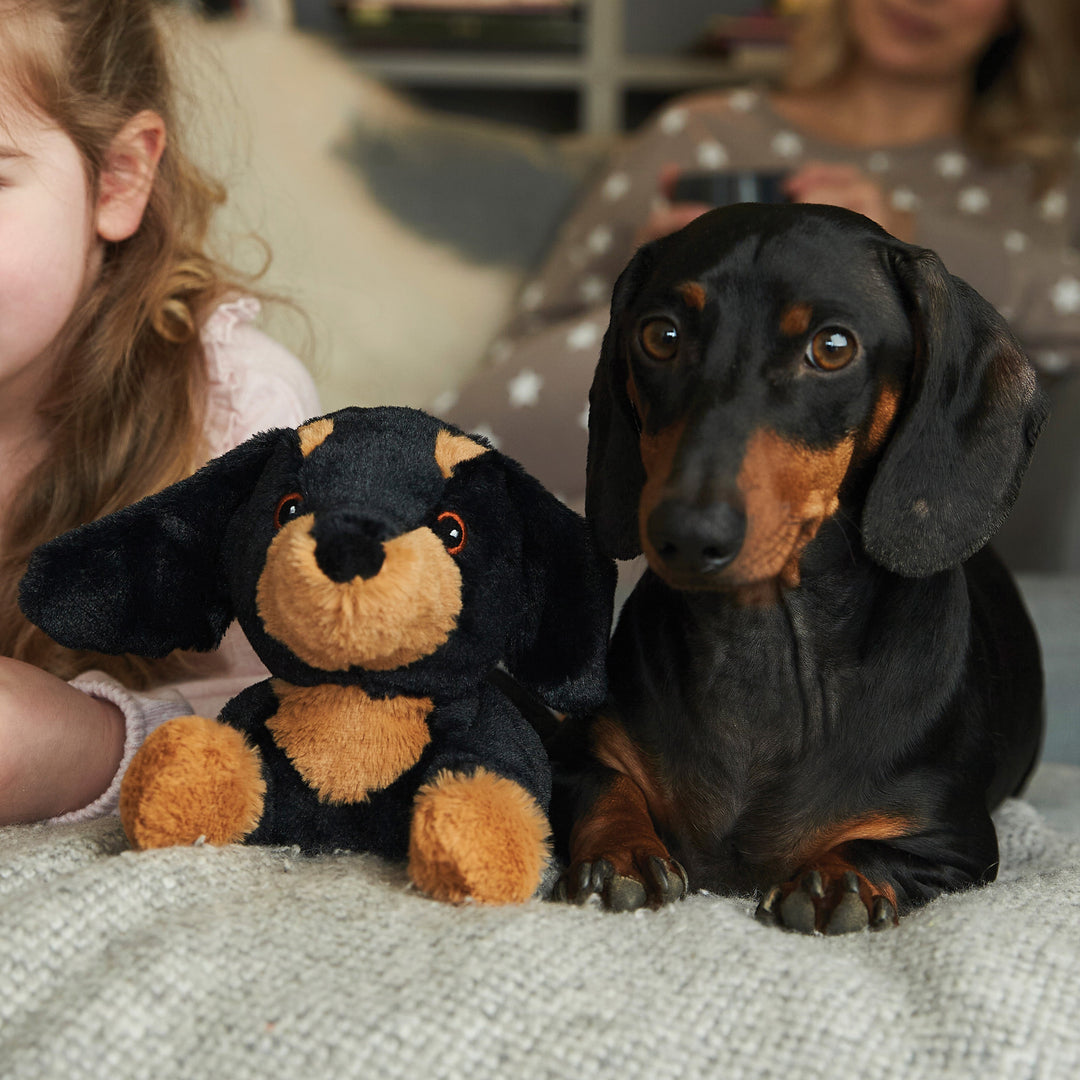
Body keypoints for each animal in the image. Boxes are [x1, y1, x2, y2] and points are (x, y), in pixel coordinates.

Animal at [548, 206, 1045, 933]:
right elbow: (605, 789)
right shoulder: (580, 757)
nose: (686, 536)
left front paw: (836, 882)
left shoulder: (954, 843)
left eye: (833, 347)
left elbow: (873, 847)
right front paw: (622, 853)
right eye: (660, 335)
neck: (762, 648)